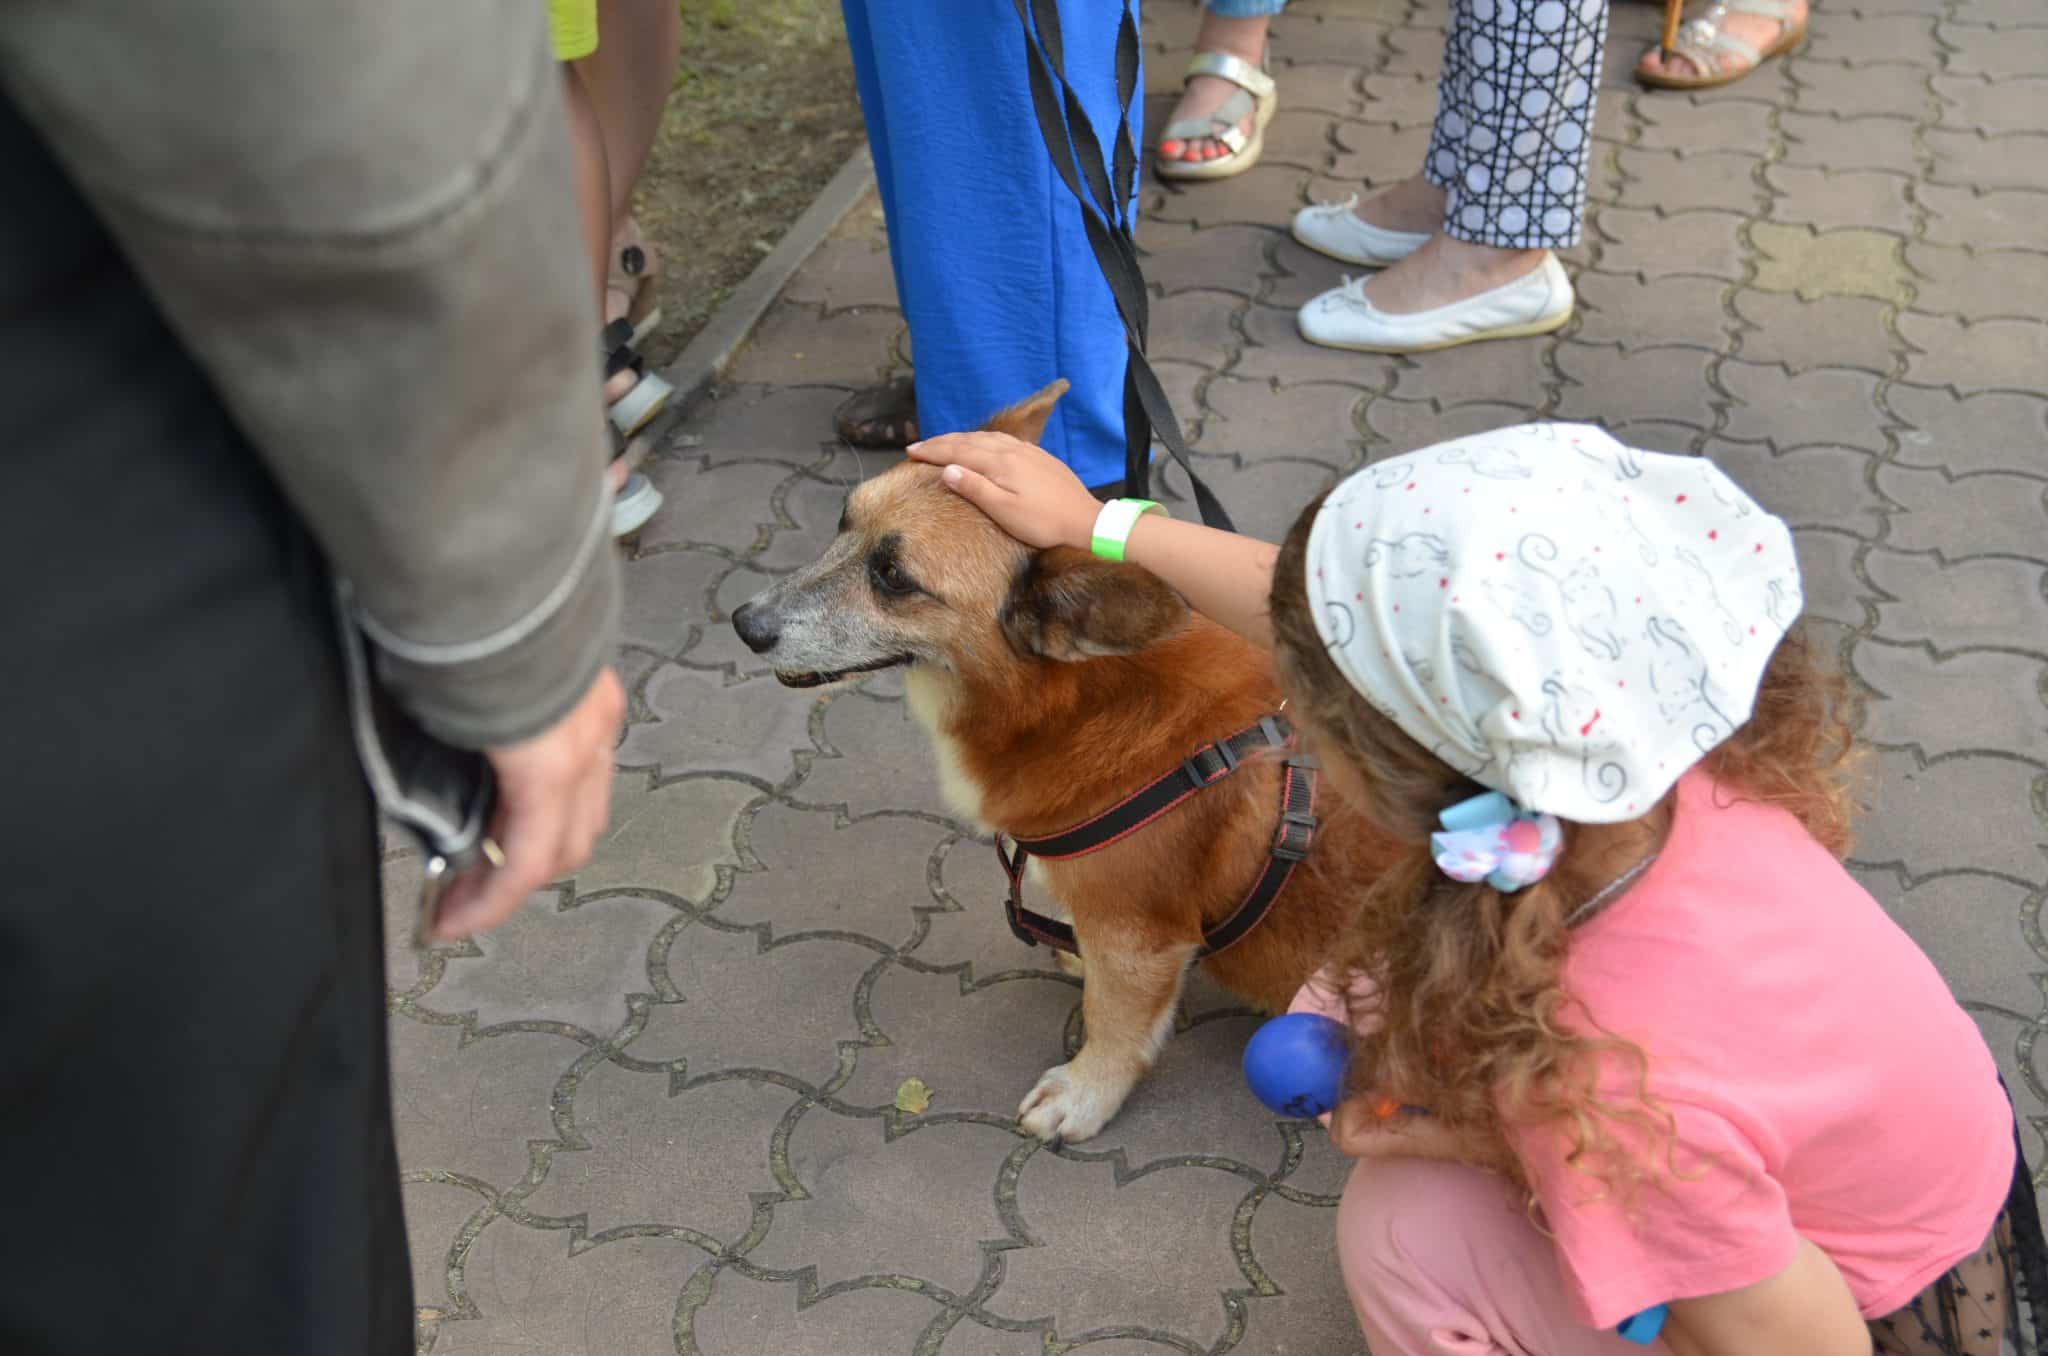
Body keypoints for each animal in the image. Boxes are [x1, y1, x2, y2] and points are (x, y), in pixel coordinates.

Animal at [729, 383, 1400, 1147]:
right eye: (844, 520)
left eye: (893, 577)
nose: (744, 625)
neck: (1075, 701)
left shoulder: (1139, 937)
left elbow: (1115, 1024)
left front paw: (1085, 1092)